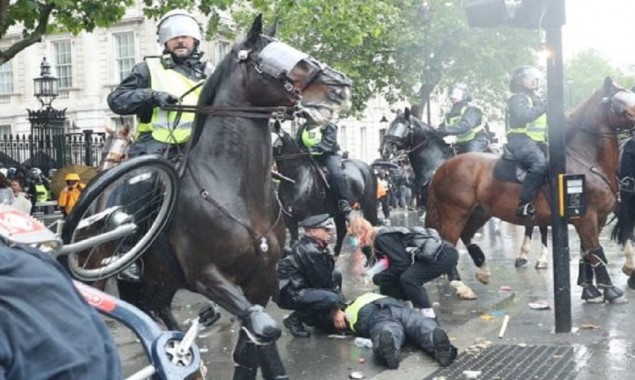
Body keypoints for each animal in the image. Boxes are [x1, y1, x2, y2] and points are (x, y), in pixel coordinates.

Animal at [272, 123, 378, 256]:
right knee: (342, 230)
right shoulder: (290, 220)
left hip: (369, 205)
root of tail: (367, 166)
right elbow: (294, 243)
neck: (296, 180)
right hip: (338, 212)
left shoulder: (309, 218)